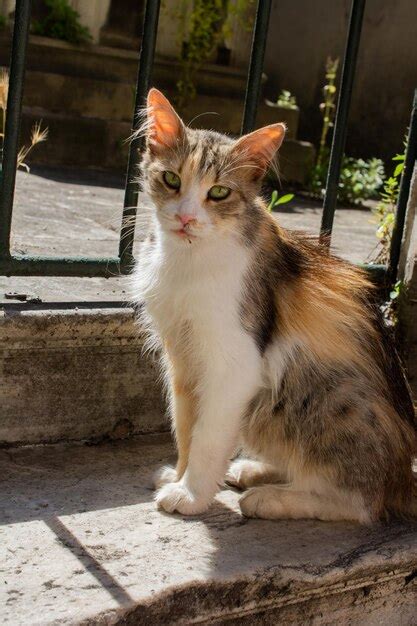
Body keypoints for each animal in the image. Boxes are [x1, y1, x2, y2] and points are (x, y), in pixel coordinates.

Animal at [132, 85, 414, 520]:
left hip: (318, 396)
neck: (188, 261)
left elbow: (208, 436)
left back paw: (272, 498)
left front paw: (191, 494)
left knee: (359, 503)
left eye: (219, 192)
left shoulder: (235, 364)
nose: (186, 219)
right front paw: (178, 475)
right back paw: (253, 470)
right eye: (171, 179)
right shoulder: (181, 355)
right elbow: (185, 424)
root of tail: (404, 479)